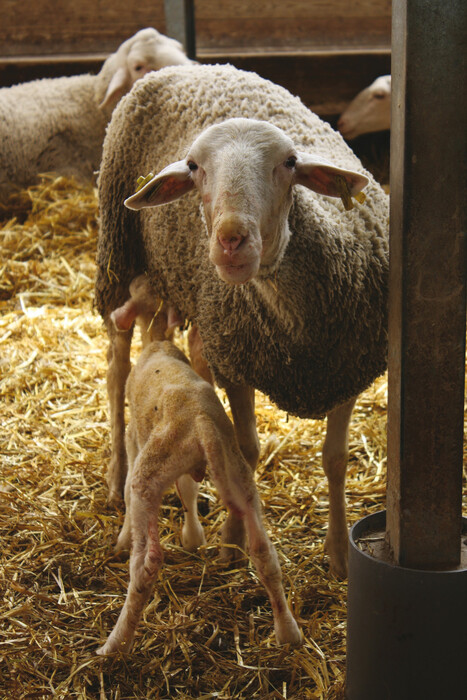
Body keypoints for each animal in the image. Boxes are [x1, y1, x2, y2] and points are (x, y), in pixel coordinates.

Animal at [93, 65, 390, 580]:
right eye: (194, 167)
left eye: (290, 162)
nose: (231, 240)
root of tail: (185, 66)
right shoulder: (238, 365)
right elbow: (247, 450)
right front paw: (233, 541)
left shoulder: (348, 369)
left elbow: (335, 459)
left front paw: (338, 552)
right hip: (118, 251)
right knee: (116, 367)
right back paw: (117, 476)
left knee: (190, 350)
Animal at [98, 274, 304, 656]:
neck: (158, 340)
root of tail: (203, 425)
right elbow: (189, 489)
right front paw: (193, 537)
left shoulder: (136, 438)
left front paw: (123, 537)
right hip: (237, 471)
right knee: (264, 553)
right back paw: (288, 632)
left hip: (150, 471)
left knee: (147, 561)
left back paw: (114, 643)